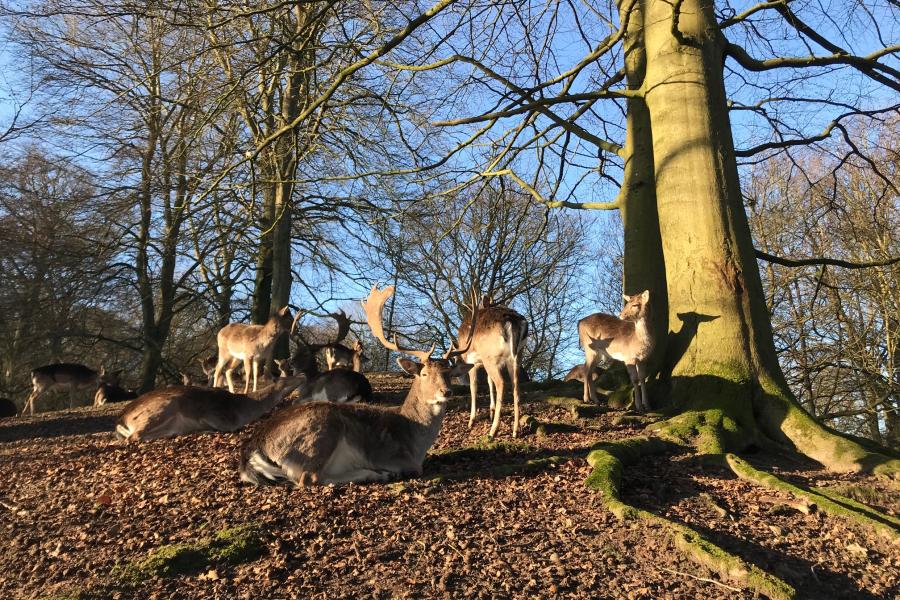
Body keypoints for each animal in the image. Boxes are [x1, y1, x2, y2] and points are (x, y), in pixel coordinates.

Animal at [114, 378, 306, 442]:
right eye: (287, 378)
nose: (303, 375)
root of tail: (121, 419)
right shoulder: (217, 416)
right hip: (165, 406)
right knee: (134, 436)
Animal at [239, 284, 478, 486]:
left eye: (449, 373)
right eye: (425, 373)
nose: (446, 391)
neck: (415, 441)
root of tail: (254, 446)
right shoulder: (393, 456)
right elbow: (413, 469)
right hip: (324, 430)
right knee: (309, 477)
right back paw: (376, 473)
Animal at [458, 298, 528, 438]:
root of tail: (513, 321)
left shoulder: (472, 361)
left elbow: (473, 386)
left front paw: (471, 421)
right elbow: (489, 382)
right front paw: (491, 411)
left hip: (490, 357)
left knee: (501, 383)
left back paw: (493, 431)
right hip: (517, 356)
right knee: (515, 385)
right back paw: (515, 430)